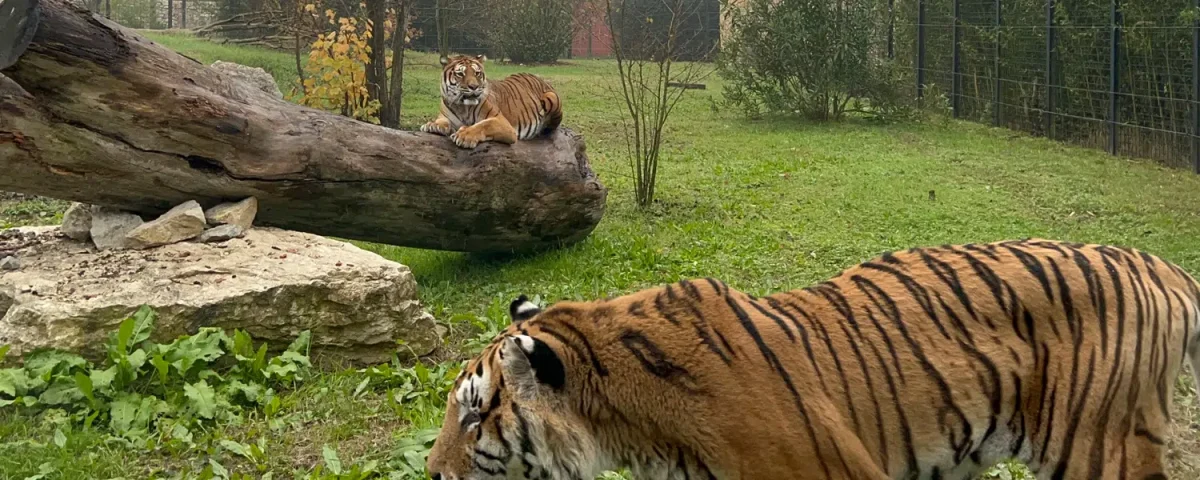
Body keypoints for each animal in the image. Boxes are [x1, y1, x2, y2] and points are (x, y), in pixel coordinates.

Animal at [420, 55, 563, 149]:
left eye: (477, 73)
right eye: (460, 74)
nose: (474, 86)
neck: (462, 106)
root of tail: (539, 78)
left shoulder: (502, 123)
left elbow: (483, 125)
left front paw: (464, 135)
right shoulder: (445, 114)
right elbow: (442, 120)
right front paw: (433, 125)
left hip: (551, 99)